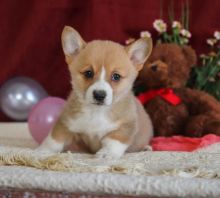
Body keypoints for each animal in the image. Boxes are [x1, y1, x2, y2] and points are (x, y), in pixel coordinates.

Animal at [37, 26, 153, 159]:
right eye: (88, 73)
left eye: (116, 76)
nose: (99, 95)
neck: (96, 112)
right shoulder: (66, 122)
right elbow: (54, 139)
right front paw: (42, 151)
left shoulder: (126, 126)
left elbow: (114, 140)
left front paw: (107, 153)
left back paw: (146, 148)